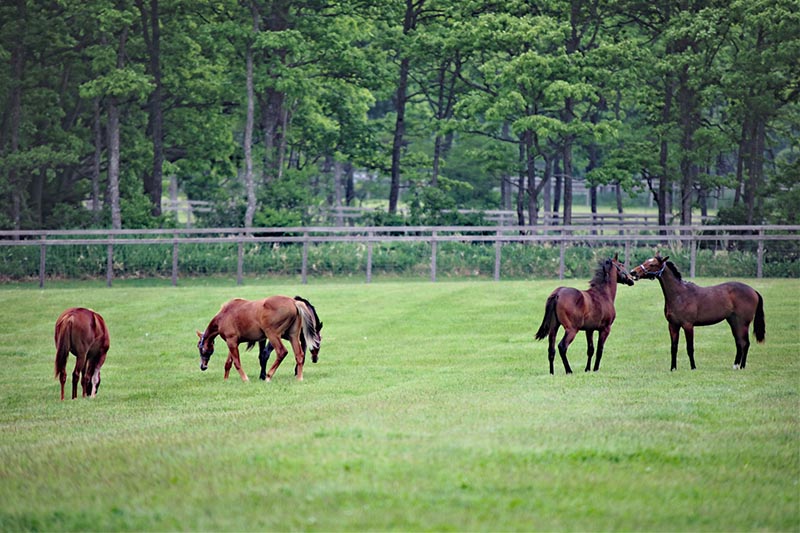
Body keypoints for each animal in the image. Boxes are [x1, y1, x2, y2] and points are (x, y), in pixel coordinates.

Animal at [628, 254, 764, 370]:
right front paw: (673, 368)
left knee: (745, 343)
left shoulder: (688, 325)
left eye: (652, 264)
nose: (633, 272)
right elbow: (674, 347)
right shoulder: (673, 325)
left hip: (743, 323)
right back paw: (735, 366)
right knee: (739, 343)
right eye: (645, 261)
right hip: (734, 322)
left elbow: (690, 348)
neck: (679, 295)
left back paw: (742, 367)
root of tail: (753, 291)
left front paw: (693, 367)